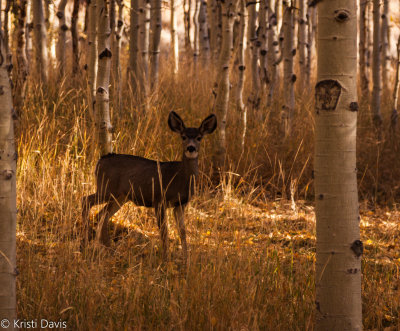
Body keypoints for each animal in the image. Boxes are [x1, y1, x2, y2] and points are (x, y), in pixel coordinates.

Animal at [81, 111, 217, 262]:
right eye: (183, 136)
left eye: (199, 137)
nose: (191, 148)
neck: (179, 178)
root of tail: (100, 161)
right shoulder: (159, 199)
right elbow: (164, 231)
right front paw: (166, 259)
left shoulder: (181, 204)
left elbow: (182, 231)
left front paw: (186, 261)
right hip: (107, 188)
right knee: (86, 200)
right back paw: (86, 242)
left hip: (120, 197)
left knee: (102, 215)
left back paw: (108, 249)